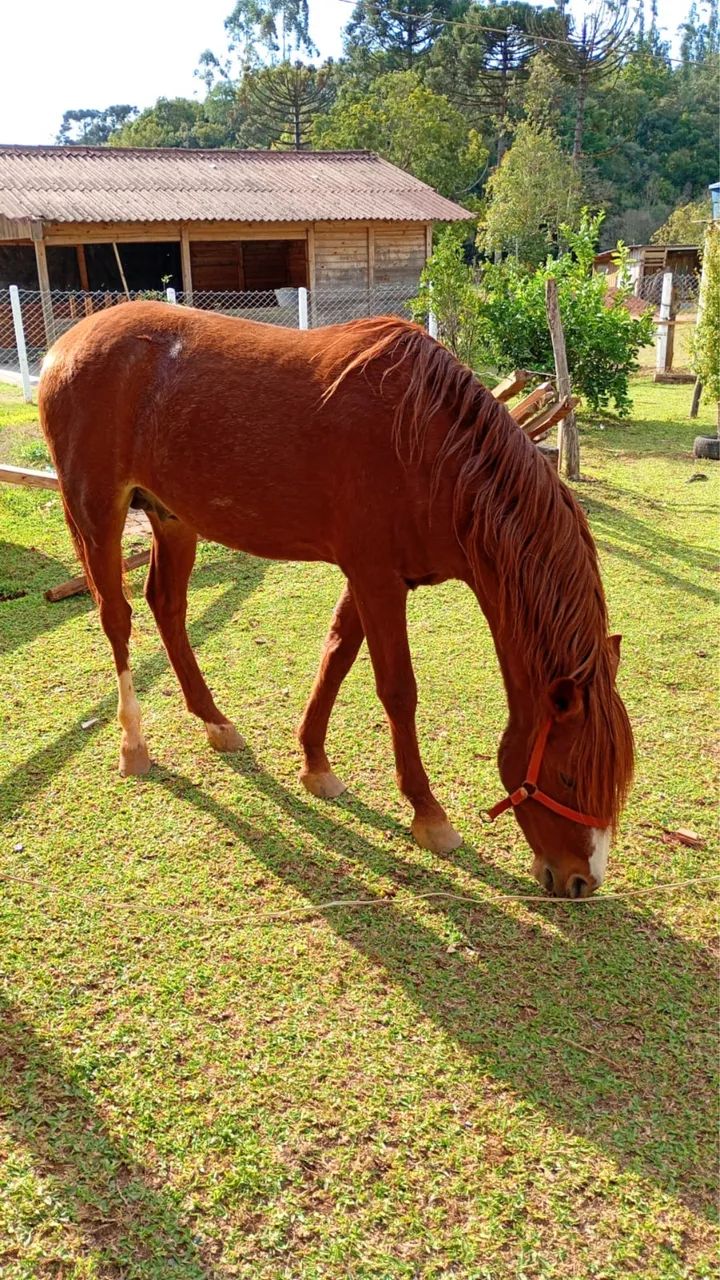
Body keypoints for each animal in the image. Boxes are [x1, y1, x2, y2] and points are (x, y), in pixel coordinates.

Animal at [38, 301, 633, 899]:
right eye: (568, 775)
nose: (582, 881)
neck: (430, 448)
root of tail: (67, 344)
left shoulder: (377, 579)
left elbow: (336, 659)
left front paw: (315, 765)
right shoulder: (376, 580)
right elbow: (397, 691)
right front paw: (428, 814)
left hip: (172, 516)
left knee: (168, 607)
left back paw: (214, 722)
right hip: (98, 514)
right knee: (117, 618)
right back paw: (133, 745)